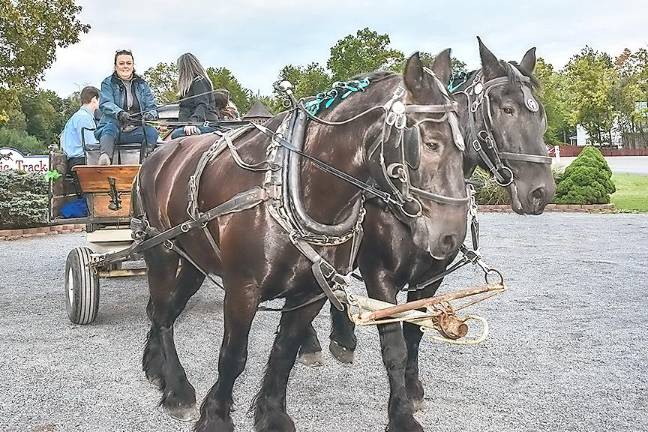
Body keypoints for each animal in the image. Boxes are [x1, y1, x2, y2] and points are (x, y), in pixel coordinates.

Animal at [300, 38, 556, 428]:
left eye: (539, 112)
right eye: (507, 109)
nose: (541, 192)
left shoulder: (430, 277)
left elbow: (415, 333)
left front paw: (414, 389)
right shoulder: (380, 276)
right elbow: (394, 344)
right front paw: (400, 413)